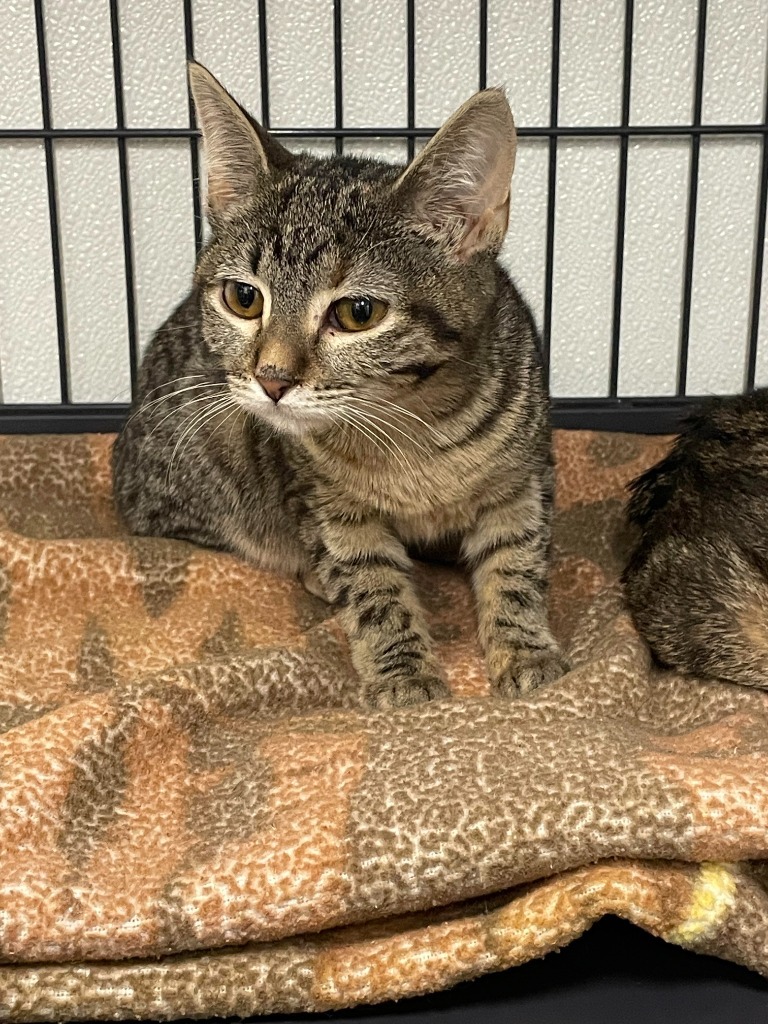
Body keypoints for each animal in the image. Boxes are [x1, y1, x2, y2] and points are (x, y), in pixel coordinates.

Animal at [115, 61, 573, 704]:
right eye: (243, 297)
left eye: (358, 312)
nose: (271, 378)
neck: (415, 430)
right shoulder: (328, 505)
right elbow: (372, 584)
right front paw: (403, 670)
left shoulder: (524, 479)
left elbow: (516, 562)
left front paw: (524, 647)